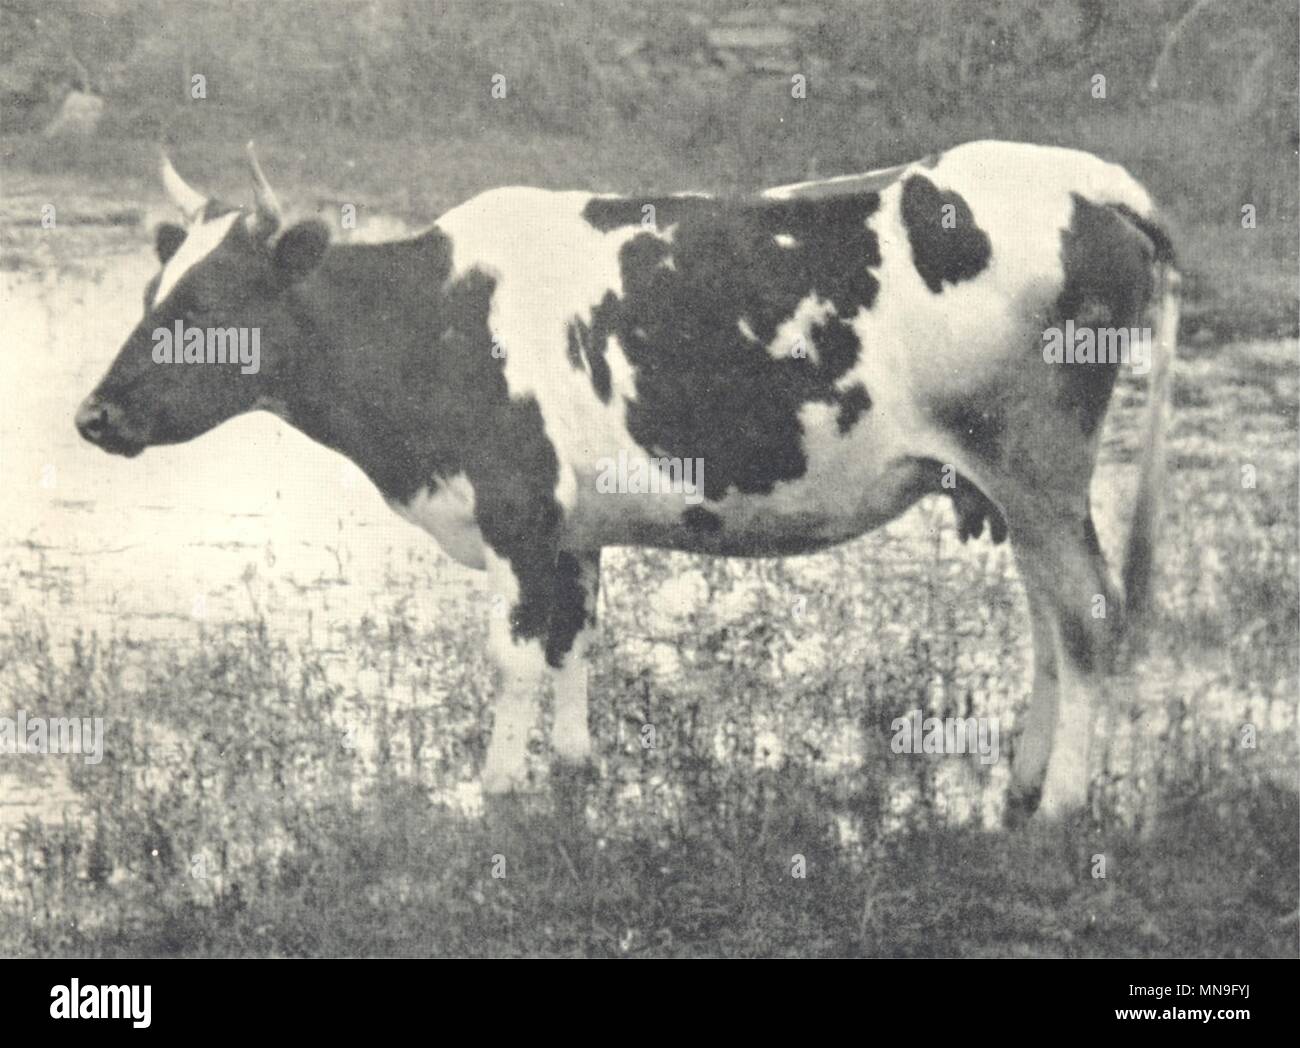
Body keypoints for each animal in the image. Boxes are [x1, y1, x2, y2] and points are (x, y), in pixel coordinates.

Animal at [76, 140, 1180, 823]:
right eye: (151, 294)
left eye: (208, 307)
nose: (93, 418)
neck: (432, 318)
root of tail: (1084, 179)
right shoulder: (571, 526)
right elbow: (576, 638)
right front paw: (571, 772)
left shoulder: (516, 511)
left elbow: (515, 657)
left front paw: (494, 789)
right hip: (1012, 485)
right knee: (1048, 620)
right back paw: (1023, 786)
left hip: (1034, 466)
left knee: (1086, 614)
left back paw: (1063, 805)